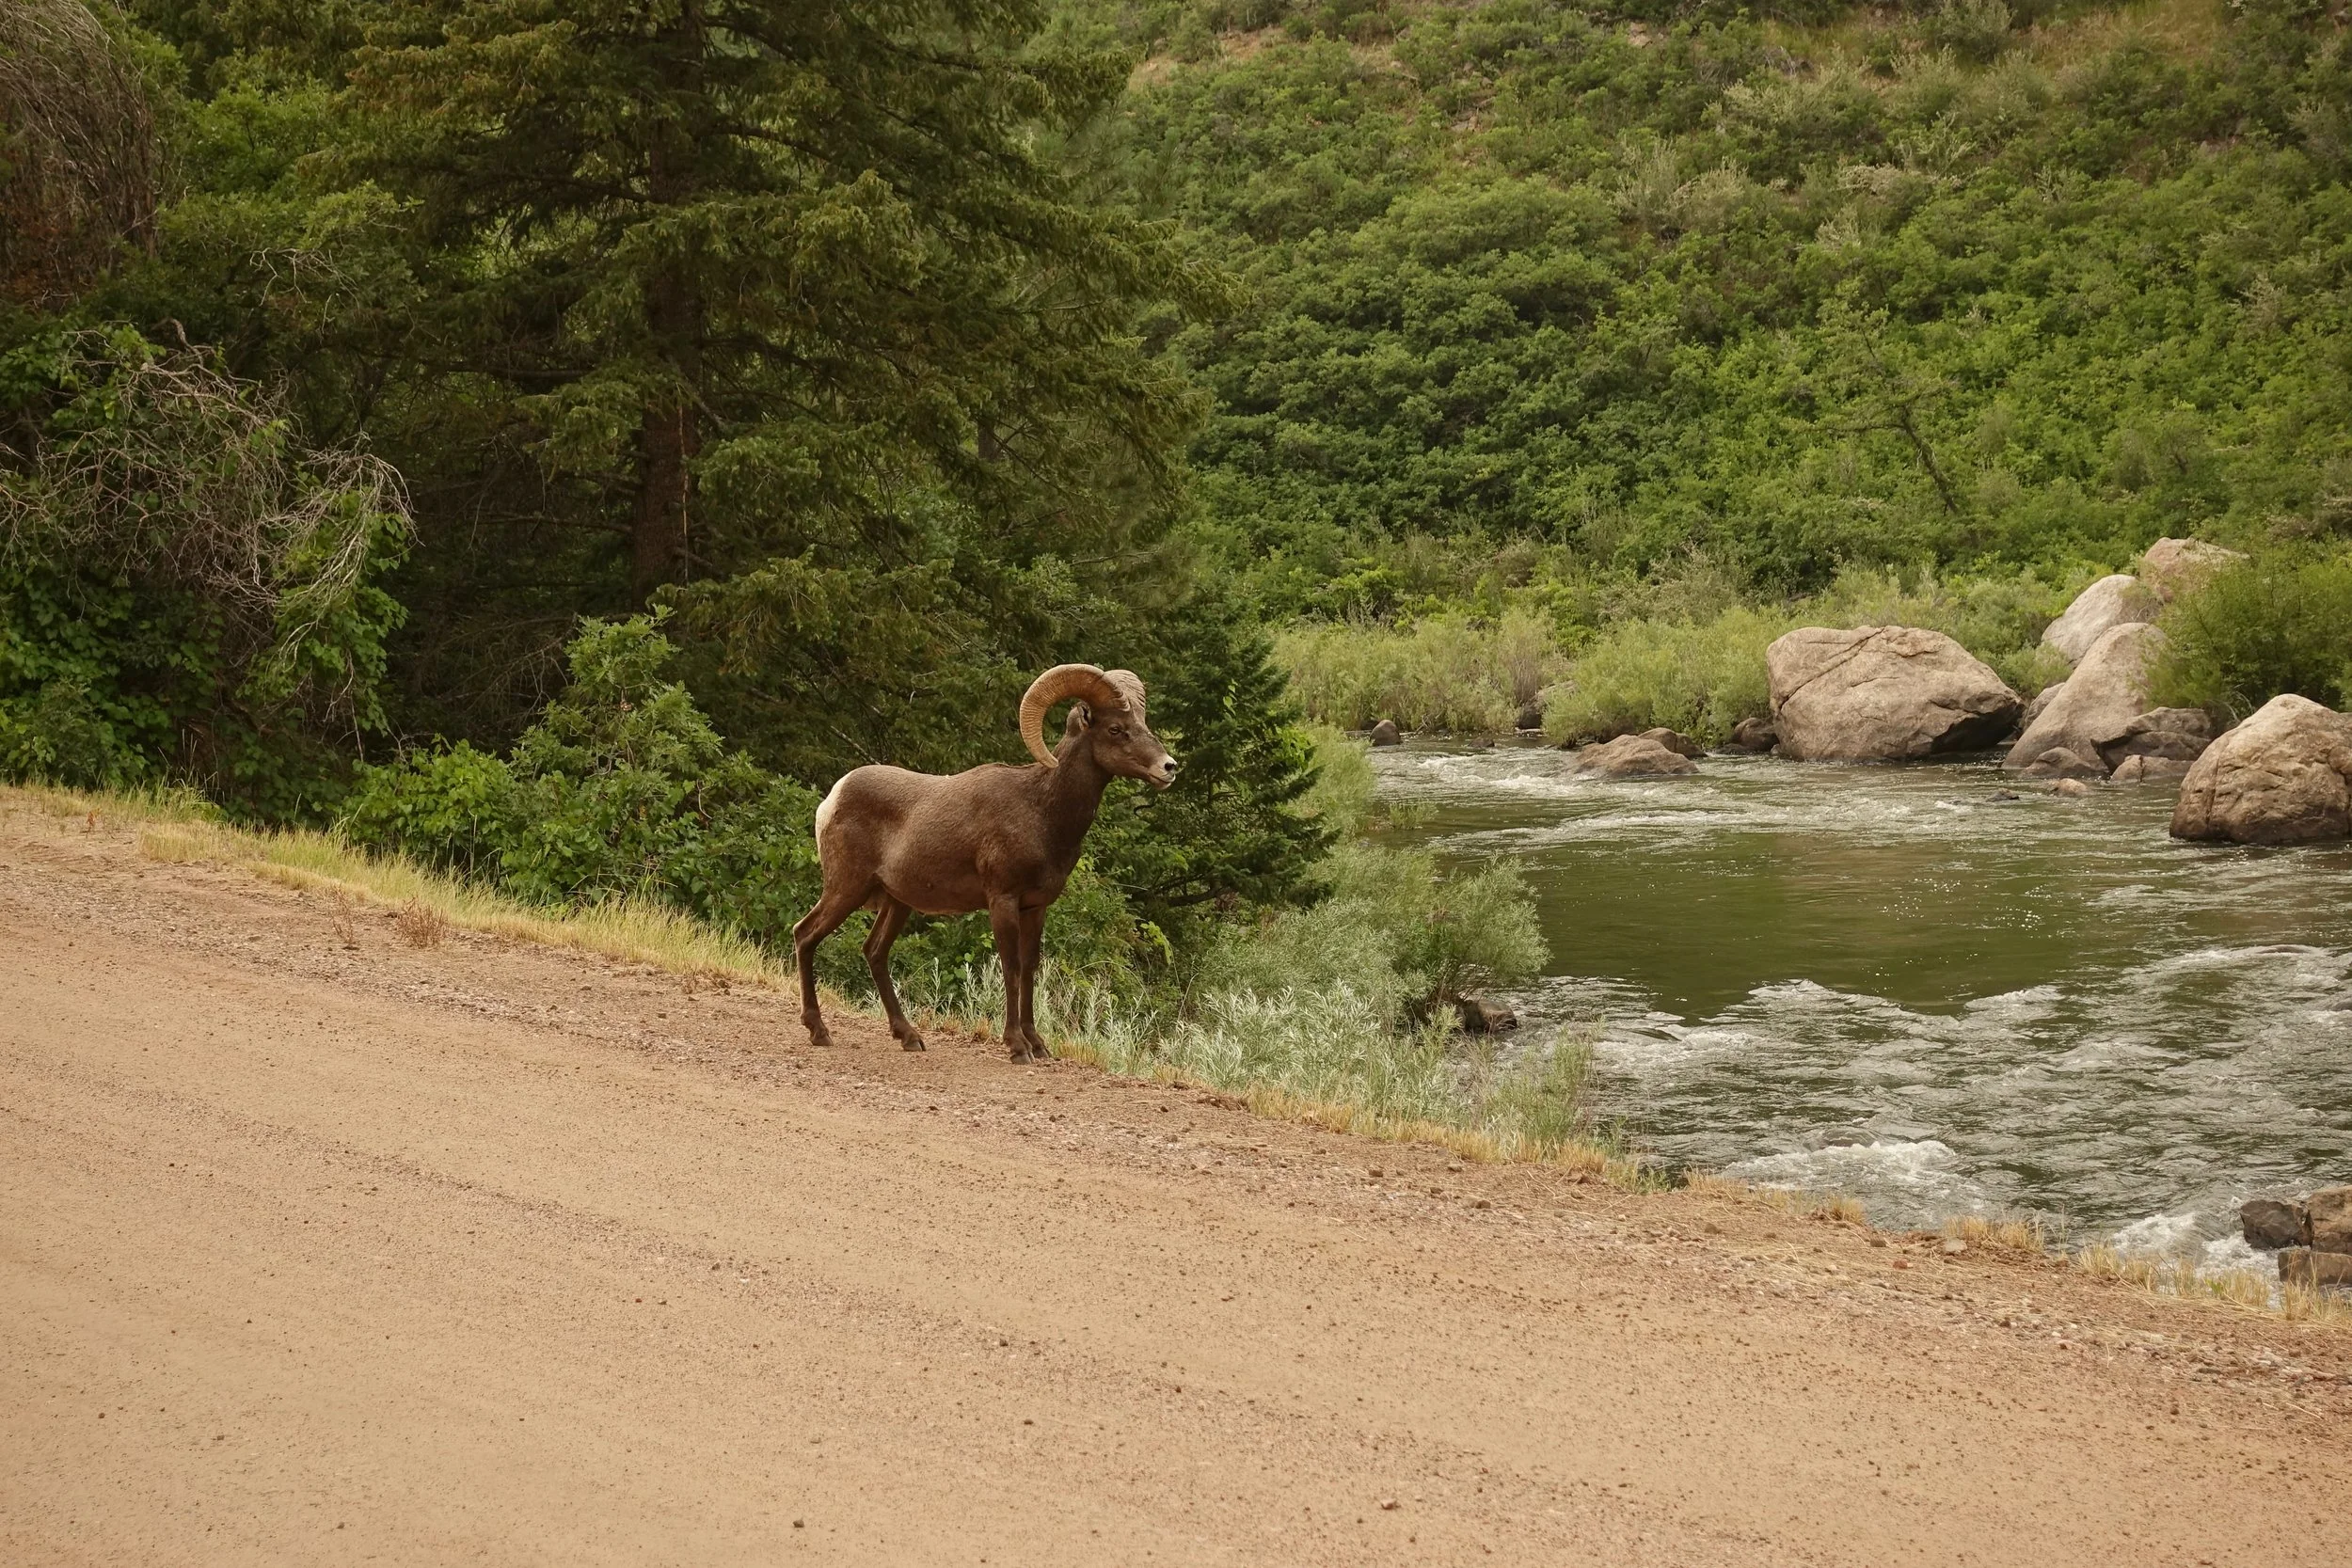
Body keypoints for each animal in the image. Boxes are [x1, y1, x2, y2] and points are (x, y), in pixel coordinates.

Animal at [793, 663, 1178, 1061]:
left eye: (1143, 722)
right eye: (1115, 729)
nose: (1169, 767)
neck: (1041, 811)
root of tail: (831, 800)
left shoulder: (1035, 907)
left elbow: (1029, 969)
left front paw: (1038, 1044)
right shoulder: (1002, 901)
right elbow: (1011, 967)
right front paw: (1017, 1046)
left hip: (897, 903)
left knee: (874, 952)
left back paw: (909, 1036)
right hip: (846, 889)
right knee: (805, 935)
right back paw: (819, 1031)